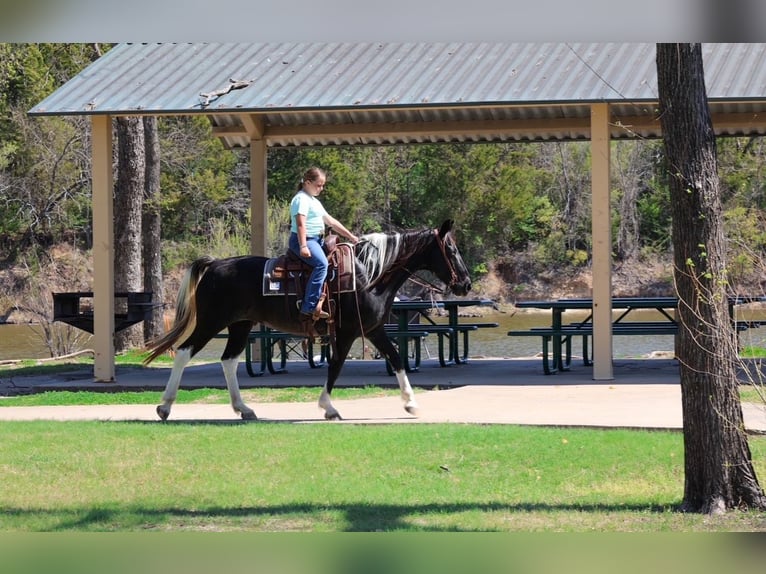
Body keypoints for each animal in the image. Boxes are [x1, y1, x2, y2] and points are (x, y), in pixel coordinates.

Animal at [143, 219, 472, 421]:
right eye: (451, 249)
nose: (466, 284)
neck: (368, 274)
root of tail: (214, 265)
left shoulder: (373, 329)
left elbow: (396, 359)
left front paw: (411, 403)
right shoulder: (348, 332)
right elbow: (336, 365)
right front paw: (328, 407)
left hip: (240, 324)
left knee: (228, 361)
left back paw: (243, 408)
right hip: (211, 321)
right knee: (184, 352)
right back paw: (165, 406)